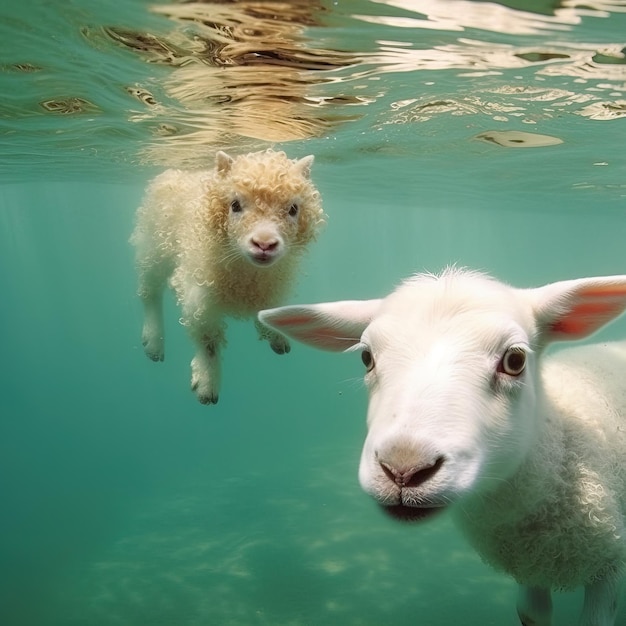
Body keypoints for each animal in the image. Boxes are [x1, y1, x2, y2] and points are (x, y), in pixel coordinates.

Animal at [132, 148, 326, 402]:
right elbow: (207, 341)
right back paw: (154, 342)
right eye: (235, 205)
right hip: (152, 246)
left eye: (293, 209)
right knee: (150, 291)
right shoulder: (199, 297)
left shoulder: (271, 286)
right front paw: (207, 383)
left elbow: (268, 311)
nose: (264, 244)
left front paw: (276, 337)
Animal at [258, 268, 626, 624]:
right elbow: (533, 614)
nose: (403, 470)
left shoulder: (610, 561)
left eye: (515, 360)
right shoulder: (529, 563)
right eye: (366, 357)